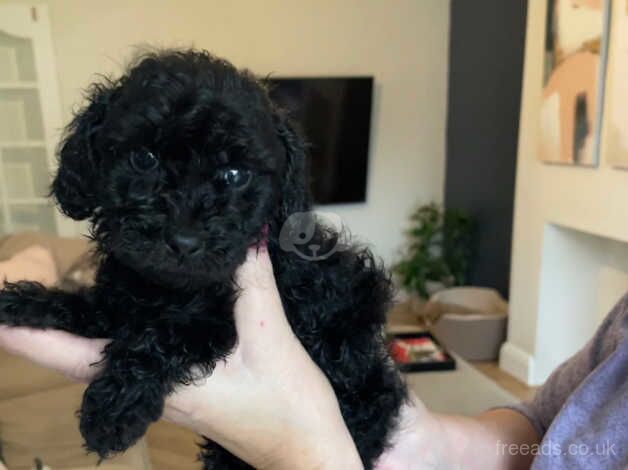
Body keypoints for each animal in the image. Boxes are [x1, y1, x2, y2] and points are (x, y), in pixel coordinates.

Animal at [0, 49, 408, 468]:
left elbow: (162, 336)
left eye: (235, 174)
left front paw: (113, 410)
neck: (169, 289)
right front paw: (25, 302)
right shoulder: (120, 303)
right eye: (144, 159)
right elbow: (88, 308)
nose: (184, 241)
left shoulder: (216, 321)